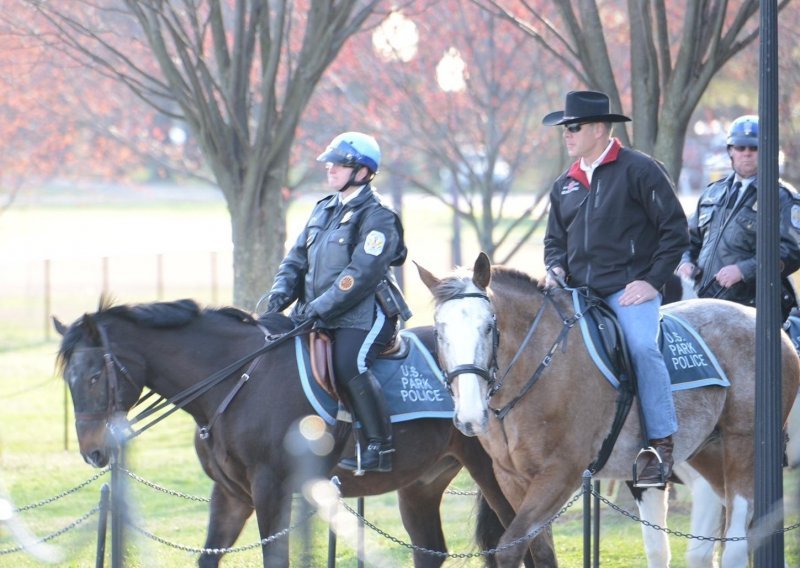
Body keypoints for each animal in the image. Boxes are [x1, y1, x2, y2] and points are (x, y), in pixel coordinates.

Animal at [51, 300, 556, 564]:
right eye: (68, 380)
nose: (94, 453)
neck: (236, 379)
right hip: (422, 485)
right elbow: (209, 556)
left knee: (531, 545)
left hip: (498, 478)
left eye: (93, 376)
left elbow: (275, 558)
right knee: (433, 551)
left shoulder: (270, 489)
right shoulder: (231, 495)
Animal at [418, 254, 800, 568]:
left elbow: (510, 549)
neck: (541, 366)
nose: (469, 416)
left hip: (743, 446)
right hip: (710, 453)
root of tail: (767, 326)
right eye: (439, 332)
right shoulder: (513, 479)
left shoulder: (560, 475)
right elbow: (540, 553)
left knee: (736, 543)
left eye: (487, 327)